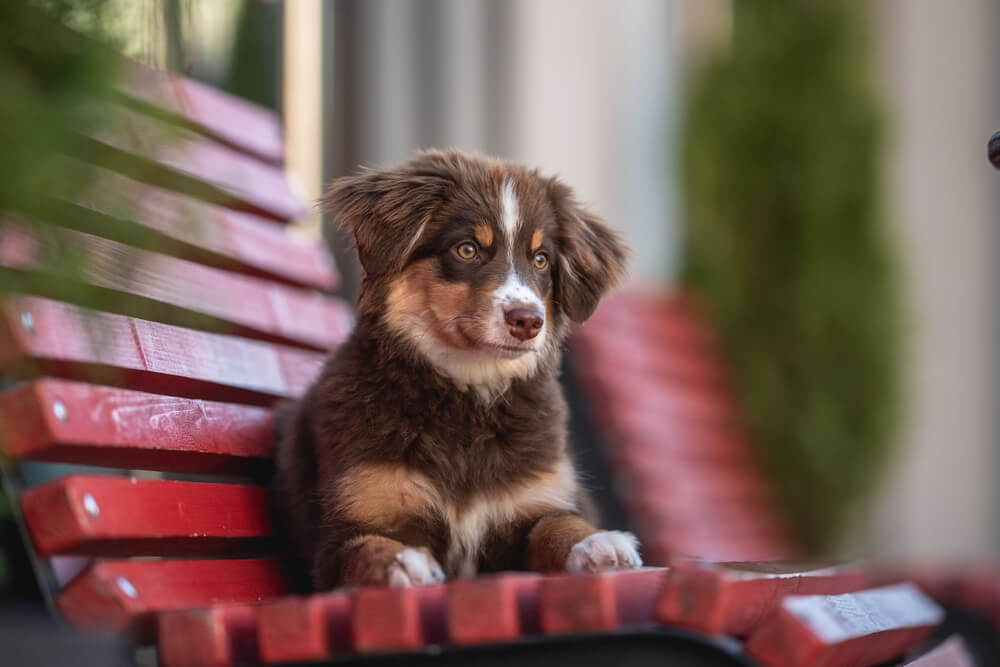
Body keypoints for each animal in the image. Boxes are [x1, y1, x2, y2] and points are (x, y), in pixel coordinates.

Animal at [272, 150, 640, 588]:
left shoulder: (533, 501)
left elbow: (558, 524)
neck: (468, 398)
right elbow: (369, 546)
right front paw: (404, 562)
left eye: (540, 259)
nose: (528, 321)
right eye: (467, 250)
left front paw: (599, 543)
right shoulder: (348, 527)